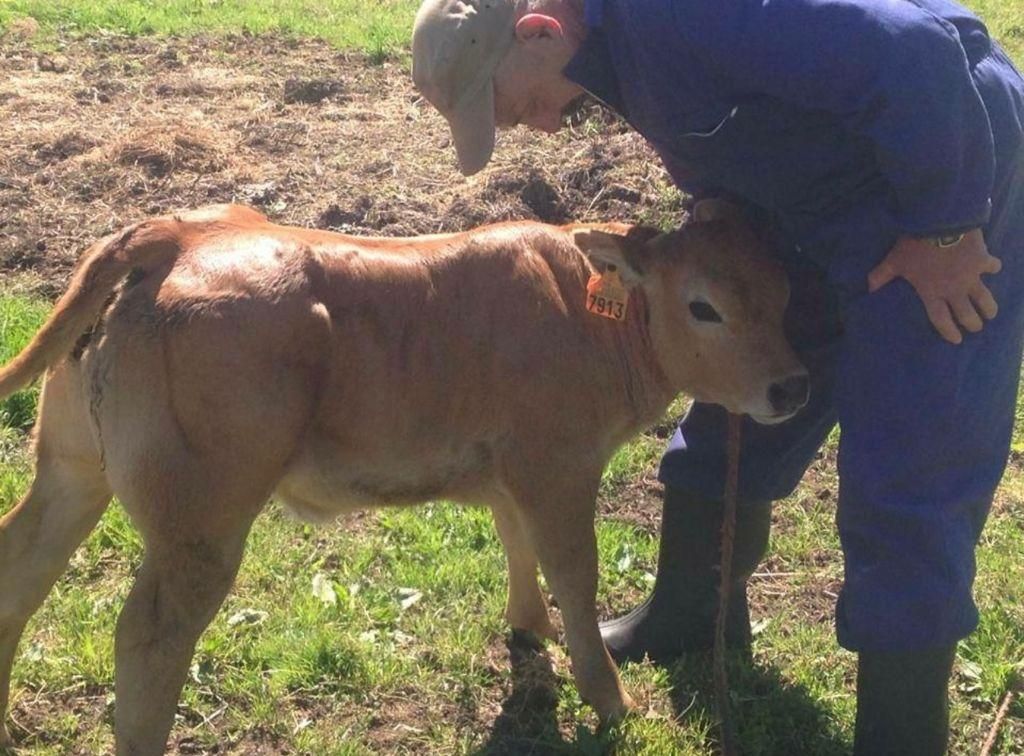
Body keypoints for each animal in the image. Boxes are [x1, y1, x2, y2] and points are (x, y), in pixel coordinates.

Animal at [0, 198, 806, 749]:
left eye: (784, 293)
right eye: (703, 307)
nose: (791, 388)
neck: (586, 313)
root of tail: (175, 233)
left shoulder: (510, 469)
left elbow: (517, 544)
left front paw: (529, 629)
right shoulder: (559, 467)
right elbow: (576, 578)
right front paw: (610, 699)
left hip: (73, 467)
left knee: (20, 569)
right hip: (201, 520)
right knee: (148, 639)